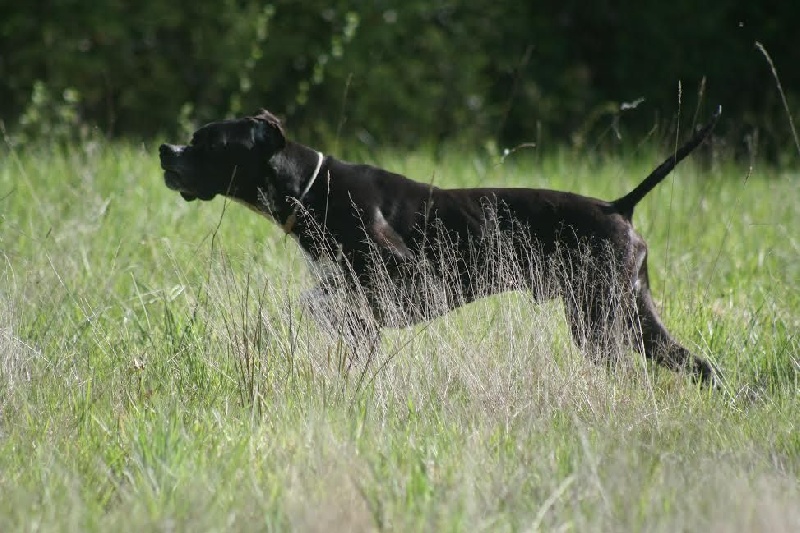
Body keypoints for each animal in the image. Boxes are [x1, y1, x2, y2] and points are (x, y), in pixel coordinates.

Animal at [159, 108, 720, 382]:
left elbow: (321, 310)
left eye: (206, 141)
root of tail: (618, 206)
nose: (166, 149)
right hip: (633, 317)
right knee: (700, 366)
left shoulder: (403, 283)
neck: (311, 187)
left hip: (599, 321)